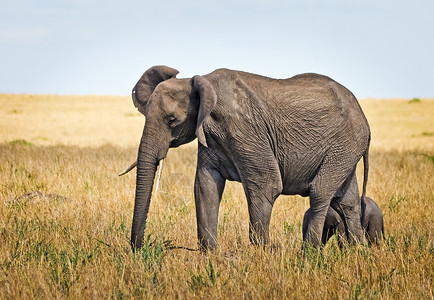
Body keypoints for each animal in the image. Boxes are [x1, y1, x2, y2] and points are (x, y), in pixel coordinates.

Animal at [124, 65, 370, 251]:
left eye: (172, 120)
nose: (139, 248)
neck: (201, 81)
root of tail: (360, 110)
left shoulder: (245, 131)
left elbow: (266, 184)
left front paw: (264, 254)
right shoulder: (210, 138)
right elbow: (205, 186)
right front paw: (209, 254)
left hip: (344, 144)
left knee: (319, 192)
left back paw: (309, 254)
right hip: (346, 150)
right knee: (347, 201)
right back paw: (358, 253)